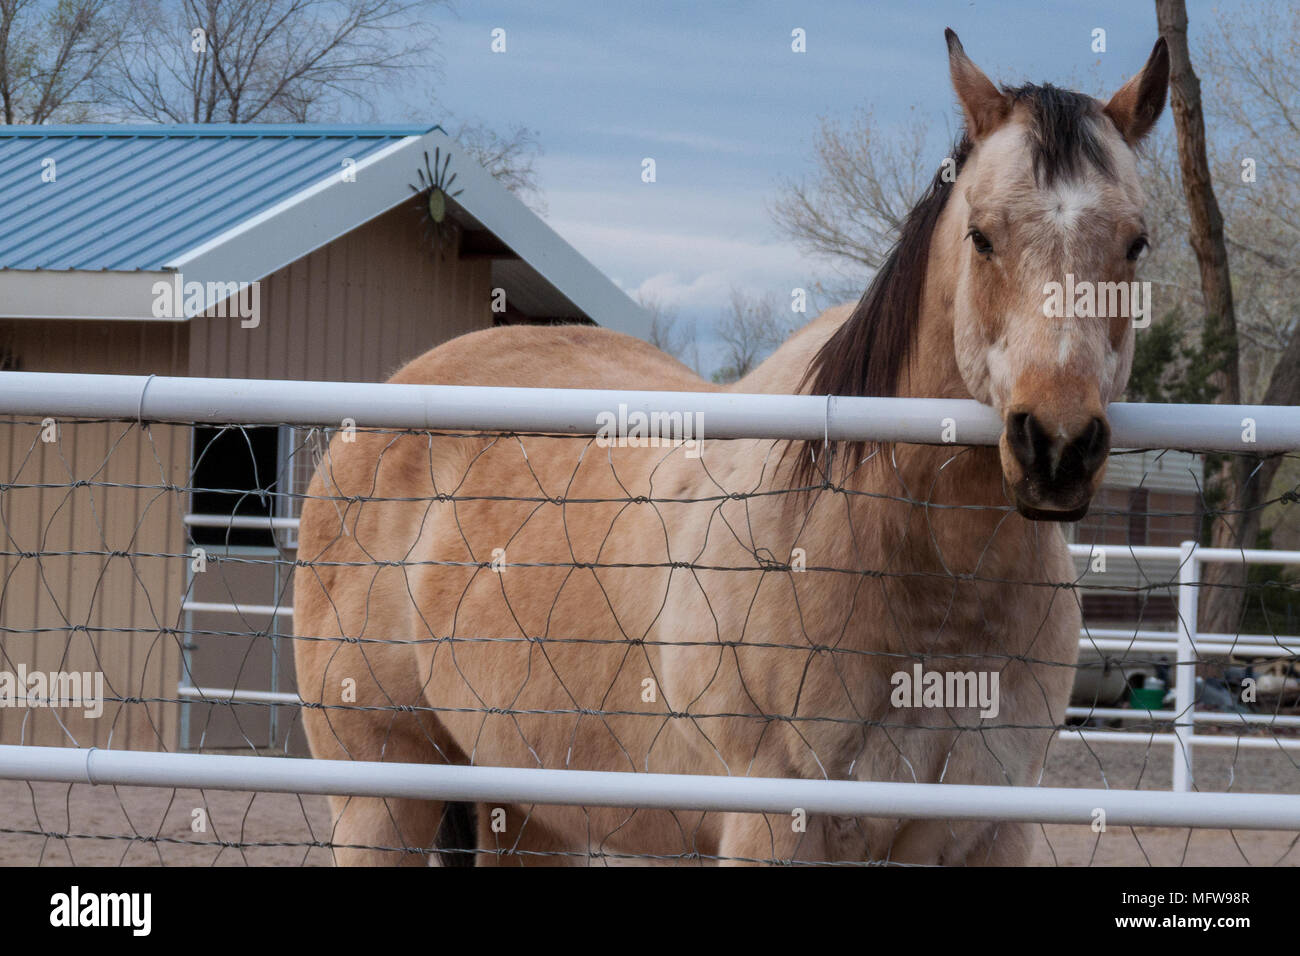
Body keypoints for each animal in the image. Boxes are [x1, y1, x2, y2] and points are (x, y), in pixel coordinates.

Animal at [293, 30, 1169, 866]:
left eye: (1136, 243)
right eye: (983, 237)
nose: (1056, 446)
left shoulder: (992, 830)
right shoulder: (771, 825)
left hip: (532, 804)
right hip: (380, 794)